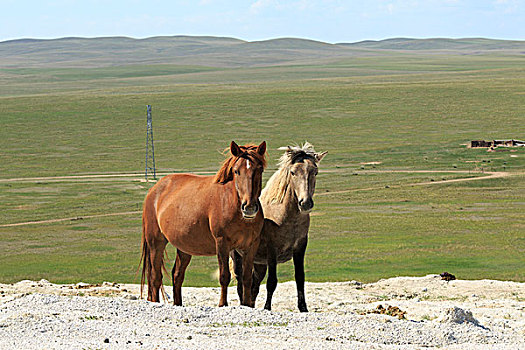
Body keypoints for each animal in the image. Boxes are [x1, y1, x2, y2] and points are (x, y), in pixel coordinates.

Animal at [140, 140, 266, 306]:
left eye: (260, 169)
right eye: (236, 171)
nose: (249, 207)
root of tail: (154, 190)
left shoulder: (251, 246)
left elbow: (246, 279)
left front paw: (246, 305)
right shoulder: (222, 243)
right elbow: (224, 276)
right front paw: (222, 304)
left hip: (184, 247)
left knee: (177, 275)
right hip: (156, 243)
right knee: (155, 278)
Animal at [232, 142, 326, 312]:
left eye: (315, 172)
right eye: (293, 172)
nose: (305, 203)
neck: (287, 217)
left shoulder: (300, 248)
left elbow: (300, 278)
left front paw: (303, 308)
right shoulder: (272, 250)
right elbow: (272, 282)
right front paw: (267, 308)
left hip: (259, 263)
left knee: (254, 285)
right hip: (238, 256)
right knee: (240, 282)